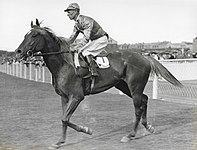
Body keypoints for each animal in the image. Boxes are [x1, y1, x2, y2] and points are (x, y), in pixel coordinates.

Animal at [15, 19, 183, 149]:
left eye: (34, 35)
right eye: (25, 35)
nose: (18, 52)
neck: (64, 64)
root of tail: (144, 57)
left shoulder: (77, 96)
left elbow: (65, 119)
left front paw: (86, 129)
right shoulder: (64, 97)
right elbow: (64, 119)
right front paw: (60, 141)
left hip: (134, 87)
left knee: (138, 108)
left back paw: (130, 135)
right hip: (124, 86)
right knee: (145, 99)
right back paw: (148, 127)